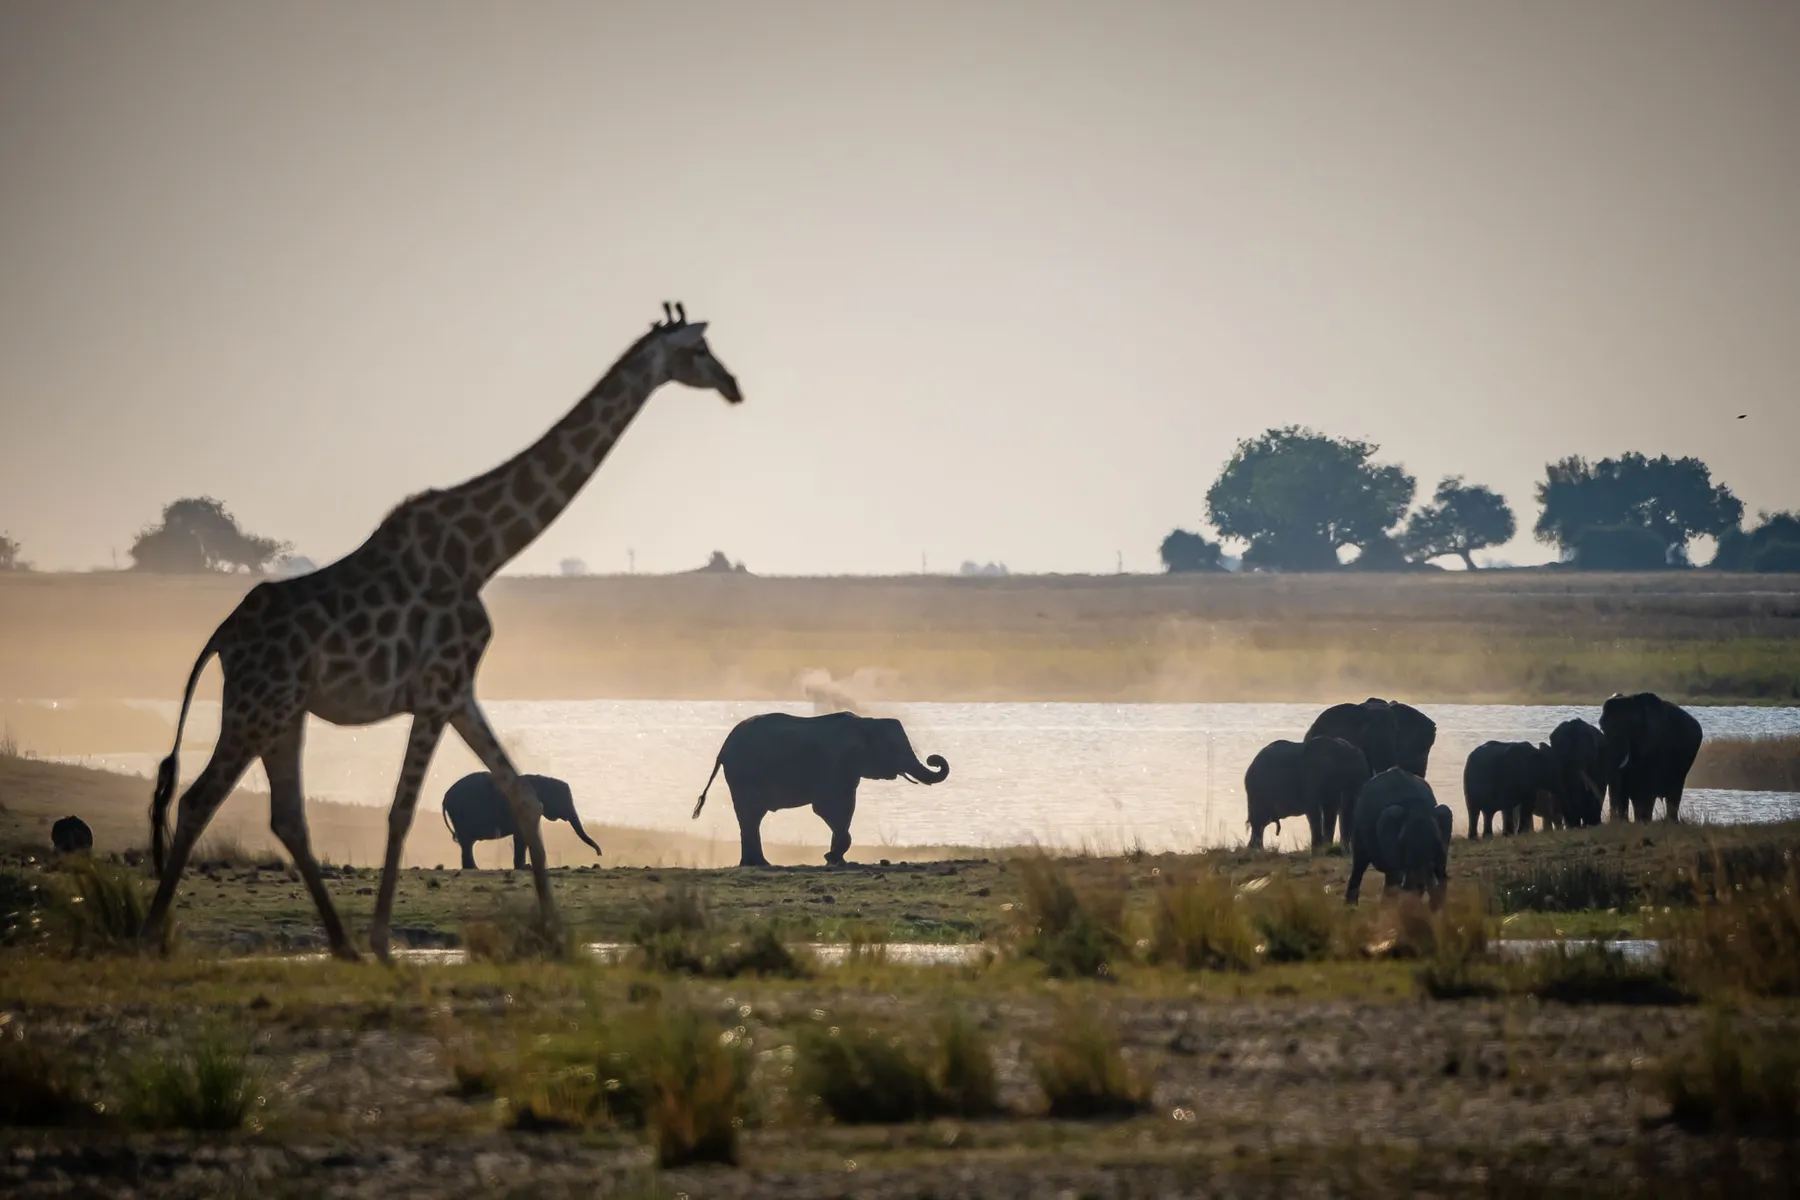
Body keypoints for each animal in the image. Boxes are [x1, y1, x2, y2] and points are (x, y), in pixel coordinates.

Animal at [440, 772, 601, 870]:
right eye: (562, 799)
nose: (599, 854)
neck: (542, 780)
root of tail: (445, 797)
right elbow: (521, 835)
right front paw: (525, 868)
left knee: (467, 843)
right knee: (467, 842)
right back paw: (473, 868)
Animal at [693, 711, 949, 867]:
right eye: (895, 748)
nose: (933, 758)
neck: (865, 722)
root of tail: (724, 747)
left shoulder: (848, 772)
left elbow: (846, 809)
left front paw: (835, 860)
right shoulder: (834, 766)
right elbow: (828, 808)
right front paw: (831, 858)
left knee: (750, 818)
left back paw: (756, 863)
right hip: (745, 774)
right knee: (751, 815)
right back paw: (759, 864)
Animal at [1243, 736, 1371, 851]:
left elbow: (1335, 811)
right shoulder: (1311, 781)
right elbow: (1316, 811)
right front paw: (1319, 850)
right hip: (1257, 791)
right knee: (1258, 820)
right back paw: (1255, 849)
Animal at [1598, 692, 1703, 823]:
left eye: (1631, 727)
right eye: (1601, 727)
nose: (1612, 820)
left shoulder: (1653, 745)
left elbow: (1645, 789)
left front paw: (1642, 822)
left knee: (1673, 793)